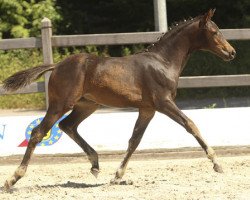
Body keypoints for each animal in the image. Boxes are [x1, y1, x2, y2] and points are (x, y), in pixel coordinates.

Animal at [2, 8, 235, 189]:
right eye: (214, 31)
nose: (231, 52)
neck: (163, 62)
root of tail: (57, 65)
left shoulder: (147, 109)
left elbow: (134, 140)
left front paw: (117, 176)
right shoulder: (164, 102)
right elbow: (191, 124)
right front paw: (216, 163)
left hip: (87, 105)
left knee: (68, 126)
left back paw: (95, 165)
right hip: (61, 104)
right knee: (38, 132)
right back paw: (13, 178)